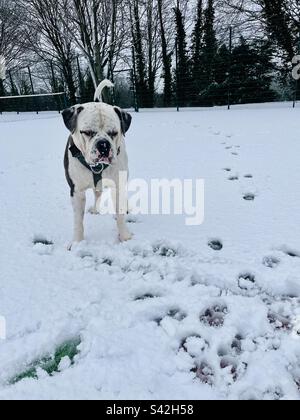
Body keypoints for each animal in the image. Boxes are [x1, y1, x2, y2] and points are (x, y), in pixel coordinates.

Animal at [62, 80, 132, 248]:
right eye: (87, 132)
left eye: (114, 132)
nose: (103, 145)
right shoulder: (76, 191)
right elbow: (78, 221)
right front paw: (77, 242)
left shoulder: (118, 185)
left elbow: (120, 213)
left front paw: (125, 237)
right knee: (97, 193)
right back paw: (95, 209)